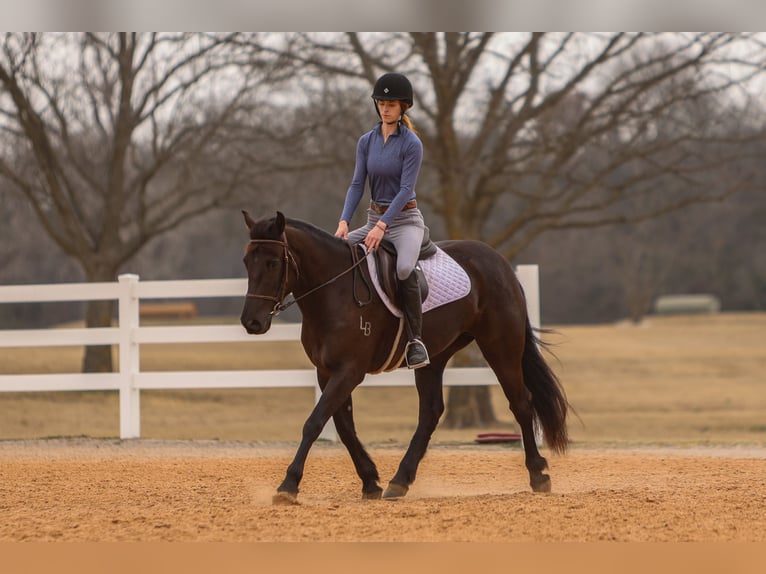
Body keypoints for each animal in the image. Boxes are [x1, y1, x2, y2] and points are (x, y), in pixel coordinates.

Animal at [242, 212, 568, 504]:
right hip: (435, 357)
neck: (334, 292)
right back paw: (400, 481)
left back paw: (538, 474)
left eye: (273, 262)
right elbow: (344, 427)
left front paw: (288, 484)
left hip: (501, 347)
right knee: (431, 413)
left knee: (521, 404)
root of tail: (498, 262)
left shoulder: (349, 371)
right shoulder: (327, 372)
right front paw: (370, 480)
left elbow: (315, 422)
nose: (251, 322)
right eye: (247, 262)